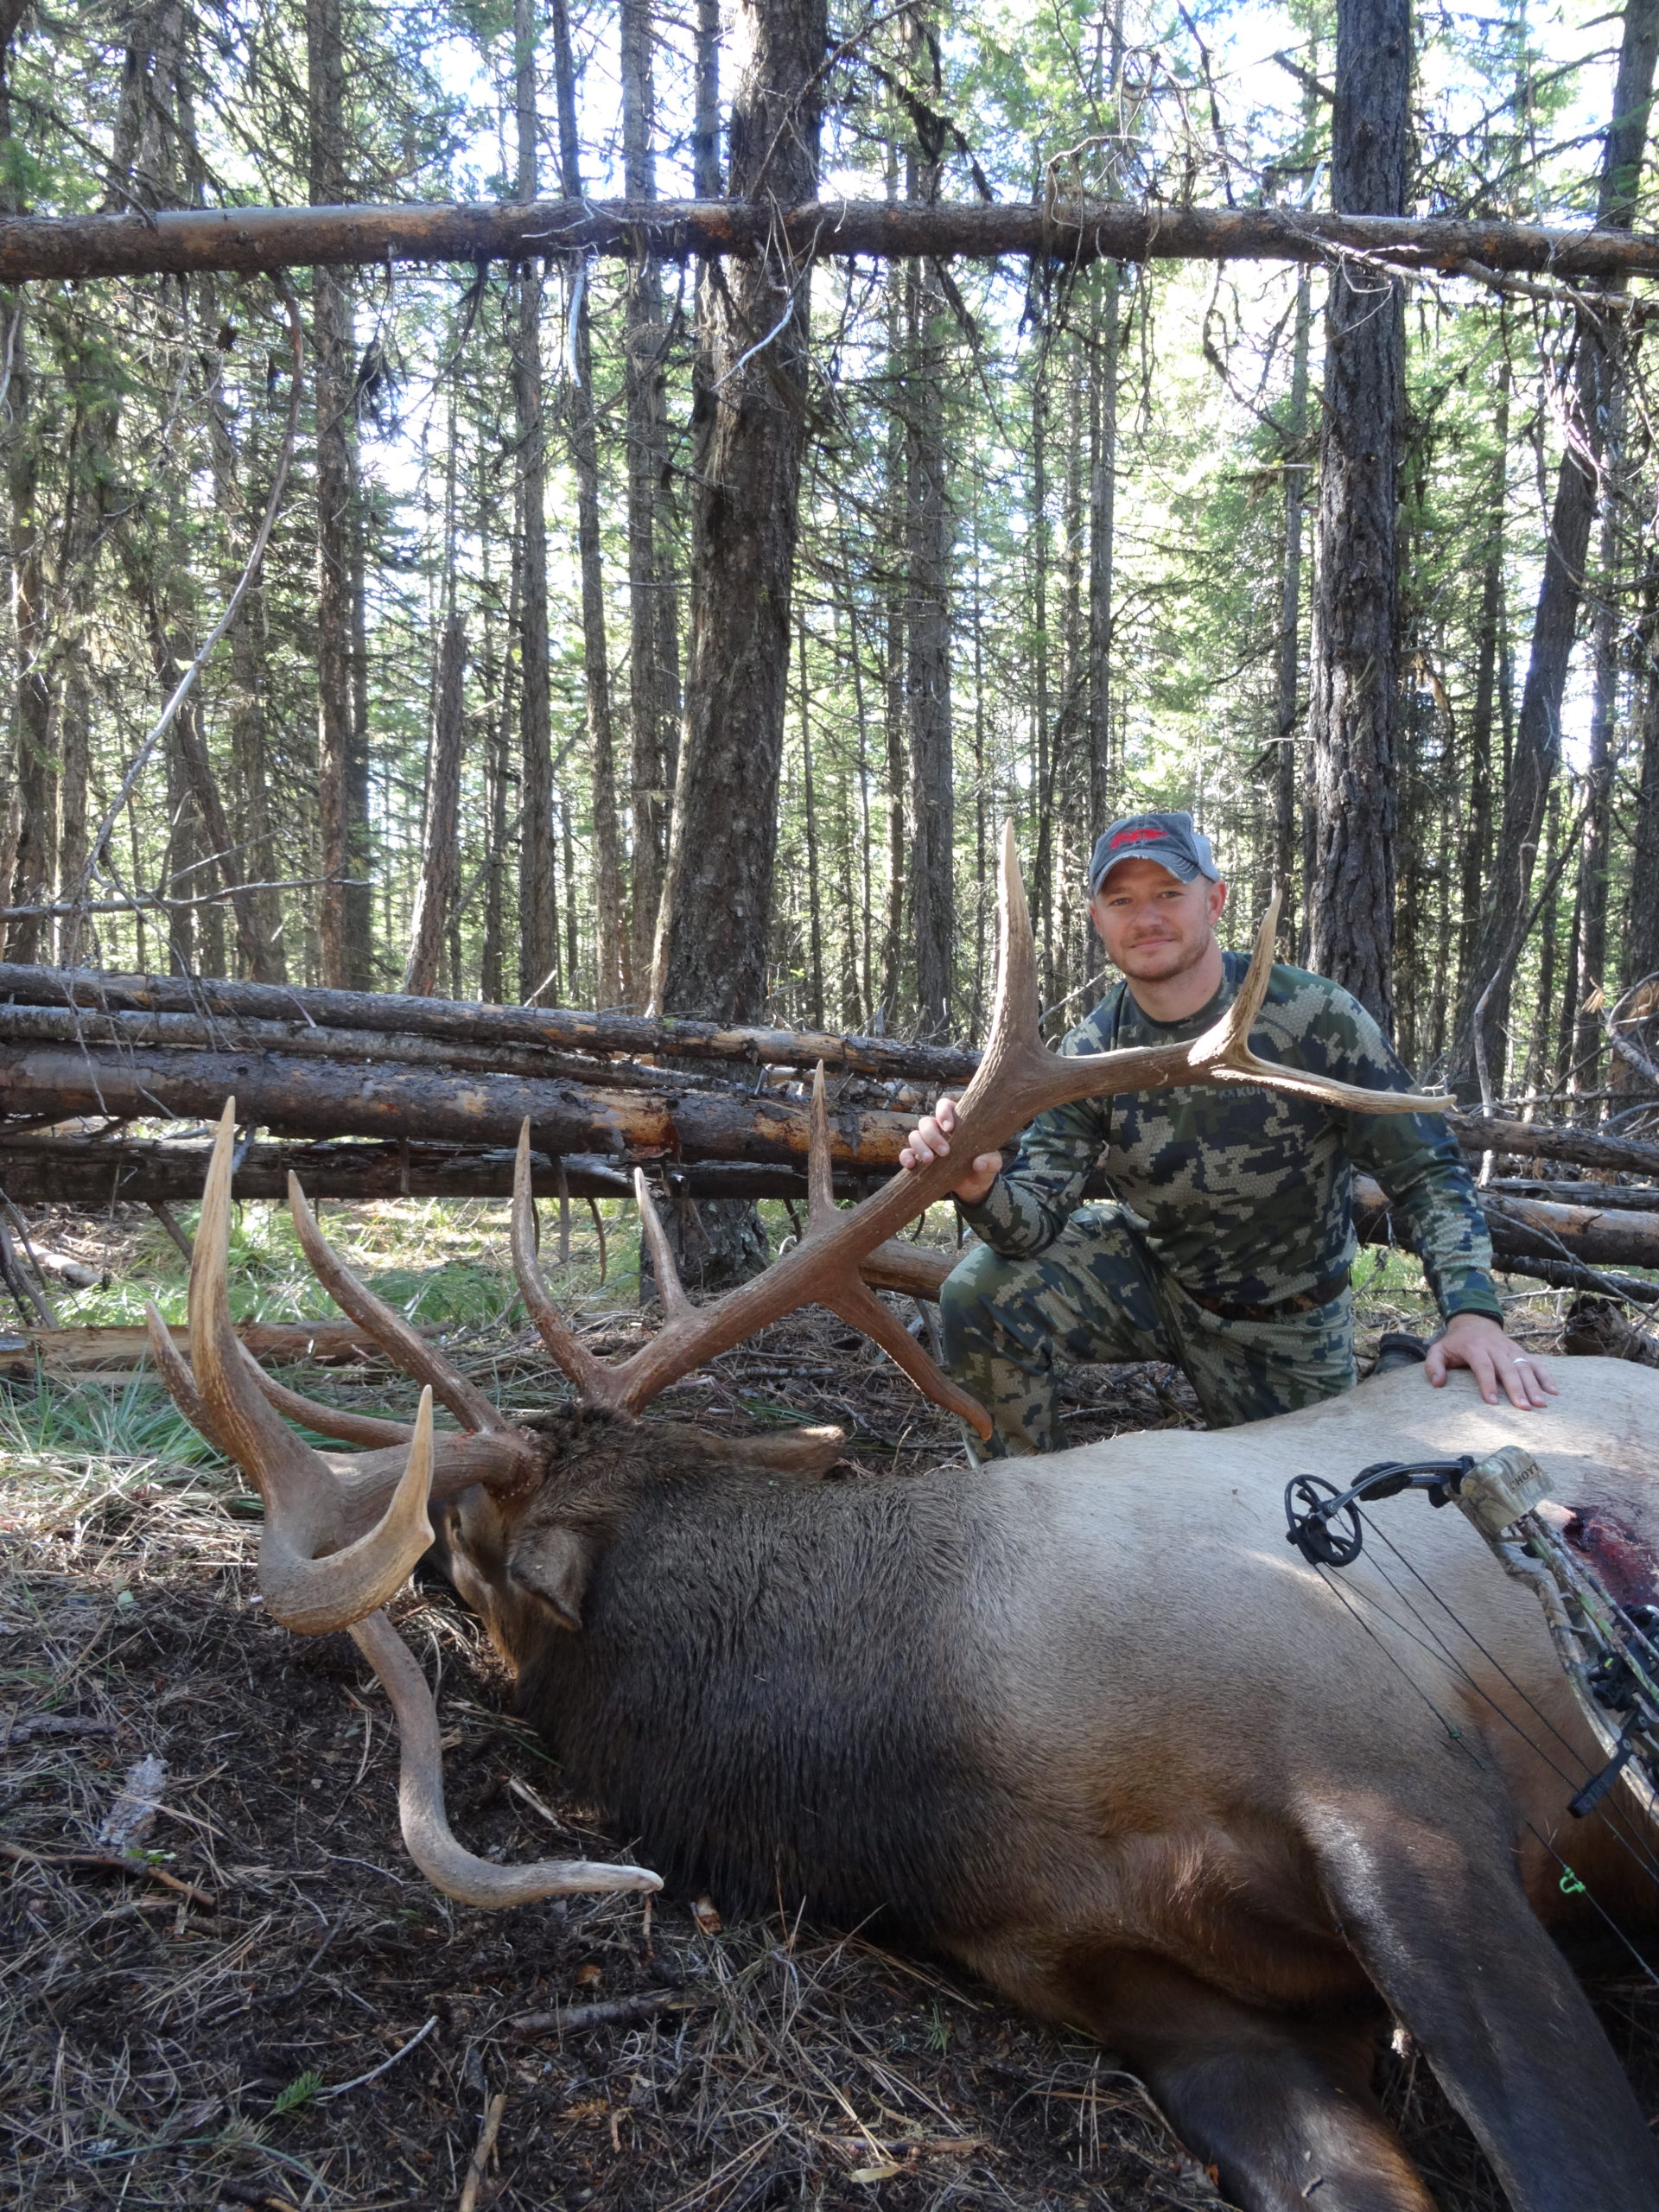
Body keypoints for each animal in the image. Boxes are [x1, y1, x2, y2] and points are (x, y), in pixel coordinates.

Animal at [145, 829, 1659, 2212]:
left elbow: (1573, 2157)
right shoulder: (1138, 1990)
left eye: (461, 1544)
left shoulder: (1392, 1787)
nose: (419, 1573)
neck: (937, 1752)